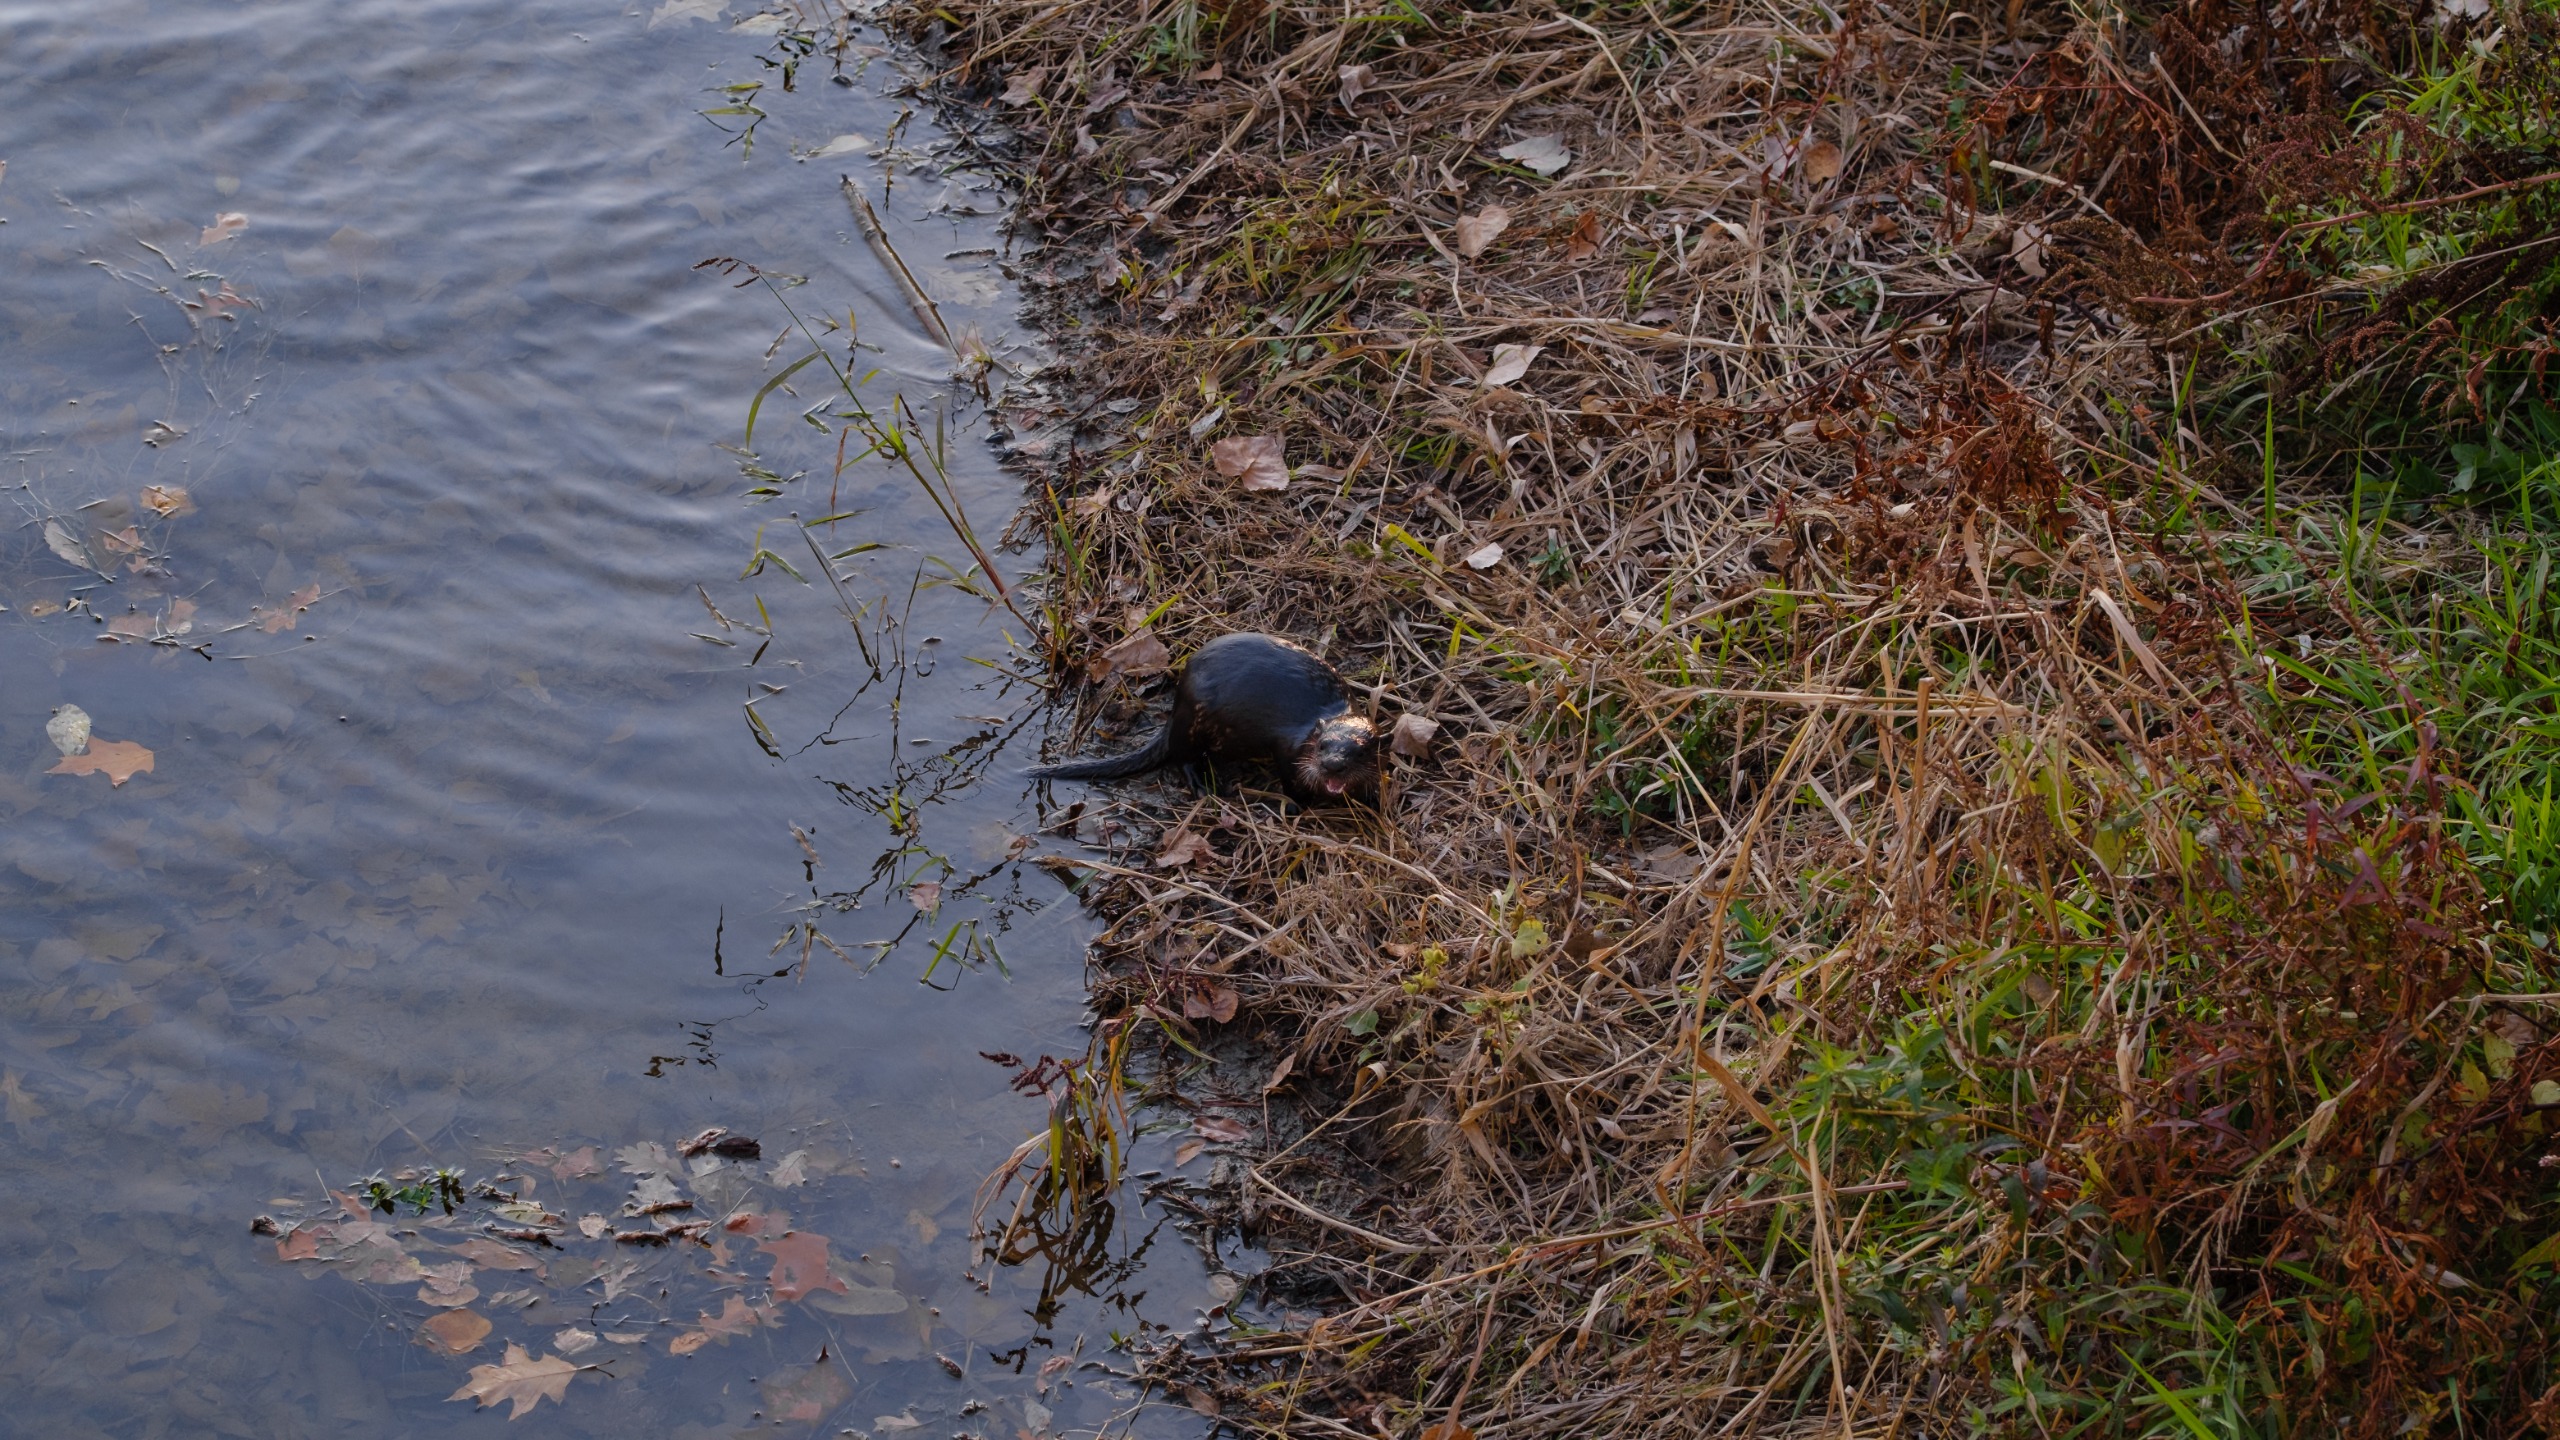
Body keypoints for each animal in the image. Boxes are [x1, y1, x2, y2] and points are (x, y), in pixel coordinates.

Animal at [1033, 632, 1380, 803]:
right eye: (1322, 746)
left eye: (1361, 751)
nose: (1333, 764)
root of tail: (1177, 702)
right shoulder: (1287, 749)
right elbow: (1293, 783)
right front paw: (1309, 802)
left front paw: (1371, 798)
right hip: (1193, 723)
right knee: (1182, 757)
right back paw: (1203, 787)